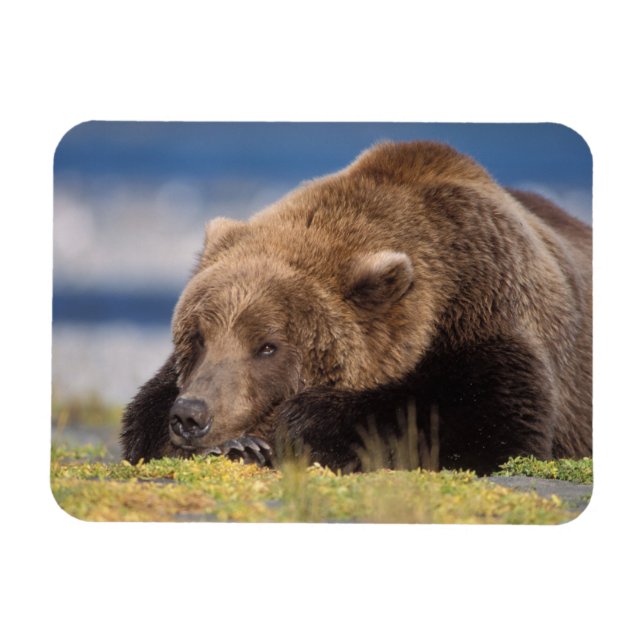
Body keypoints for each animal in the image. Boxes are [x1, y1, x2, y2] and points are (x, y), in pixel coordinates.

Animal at [120, 140, 592, 475]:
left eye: (268, 346)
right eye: (197, 338)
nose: (192, 415)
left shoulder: (490, 311)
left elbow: (487, 419)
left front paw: (291, 427)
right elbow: (143, 418)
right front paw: (235, 443)